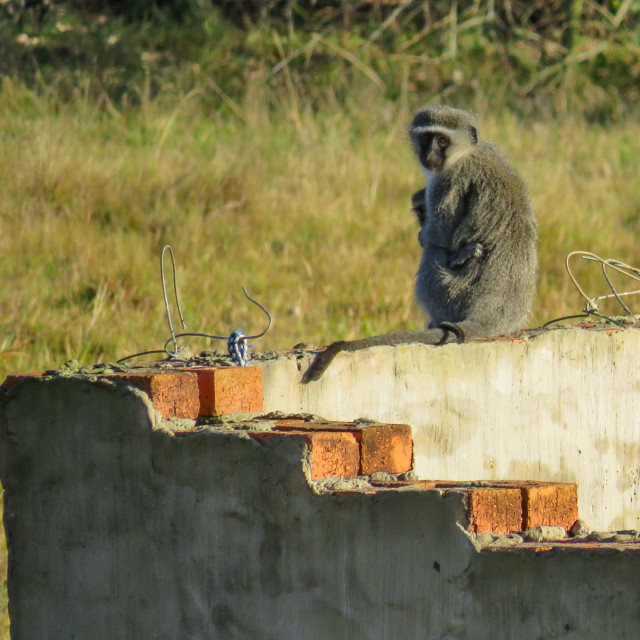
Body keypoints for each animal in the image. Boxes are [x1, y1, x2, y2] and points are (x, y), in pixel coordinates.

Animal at [302, 107, 536, 382]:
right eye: (426, 138)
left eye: (442, 140)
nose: (429, 154)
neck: (466, 153)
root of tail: (496, 313)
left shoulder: (448, 184)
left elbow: (441, 236)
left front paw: (427, 236)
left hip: (446, 292)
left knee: (434, 252)